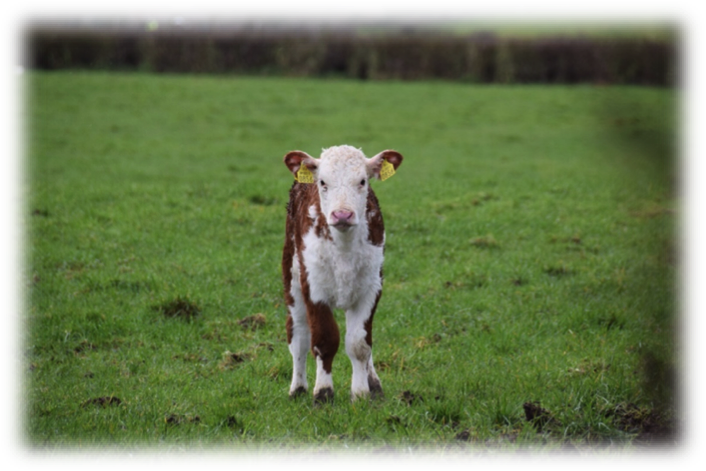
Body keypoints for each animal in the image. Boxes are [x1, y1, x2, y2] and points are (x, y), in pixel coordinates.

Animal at [282, 145, 403, 403]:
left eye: (362, 181)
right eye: (323, 182)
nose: (342, 215)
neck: (344, 248)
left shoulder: (371, 289)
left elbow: (360, 344)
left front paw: (361, 393)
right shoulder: (314, 288)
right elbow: (324, 340)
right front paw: (323, 392)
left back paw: (374, 383)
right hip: (291, 279)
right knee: (298, 336)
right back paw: (298, 388)